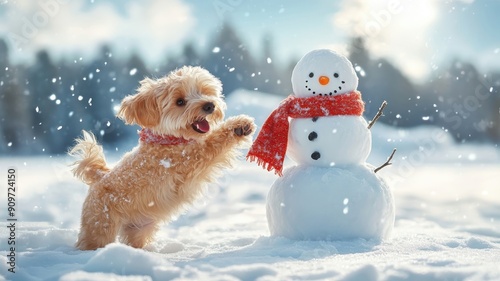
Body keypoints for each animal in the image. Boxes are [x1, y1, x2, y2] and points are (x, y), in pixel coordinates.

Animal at [69, 65, 256, 249]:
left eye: (203, 91)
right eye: (179, 102)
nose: (209, 105)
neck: (168, 140)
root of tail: (98, 177)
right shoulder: (191, 158)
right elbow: (214, 140)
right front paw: (238, 126)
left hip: (139, 228)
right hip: (100, 226)